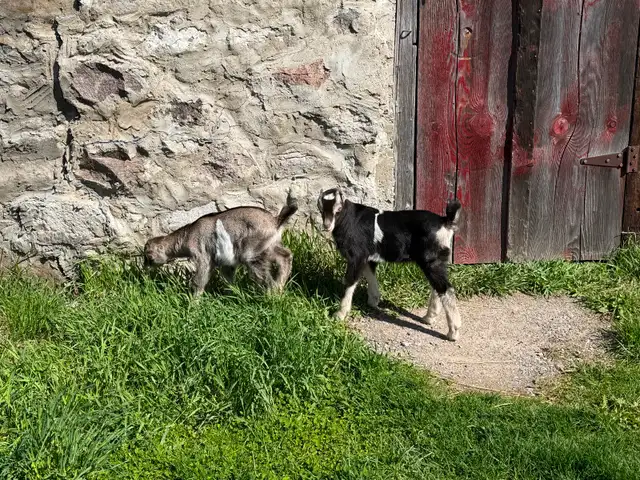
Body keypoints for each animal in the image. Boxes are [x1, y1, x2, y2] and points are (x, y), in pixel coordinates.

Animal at [144, 198, 298, 296]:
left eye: (148, 256)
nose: (145, 267)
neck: (187, 235)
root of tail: (275, 221)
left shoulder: (202, 255)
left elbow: (199, 281)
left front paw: (193, 303)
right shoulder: (227, 262)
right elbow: (228, 278)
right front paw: (233, 294)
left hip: (253, 250)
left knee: (263, 273)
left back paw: (271, 294)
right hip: (270, 245)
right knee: (285, 256)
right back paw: (279, 286)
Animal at [317, 188, 462, 341]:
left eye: (338, 209)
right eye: (320, 209)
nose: (327, 226)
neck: (348, 219)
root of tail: (445, 221)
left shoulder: (356, 256)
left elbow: (350, 281)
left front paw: (339, 314)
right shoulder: (368, 257)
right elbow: (370, 275)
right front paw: (373, 301)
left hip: (431, 260)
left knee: (446, 289)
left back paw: (453, 332)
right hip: (436, 261)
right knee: (438, 286)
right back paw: (429, 317)